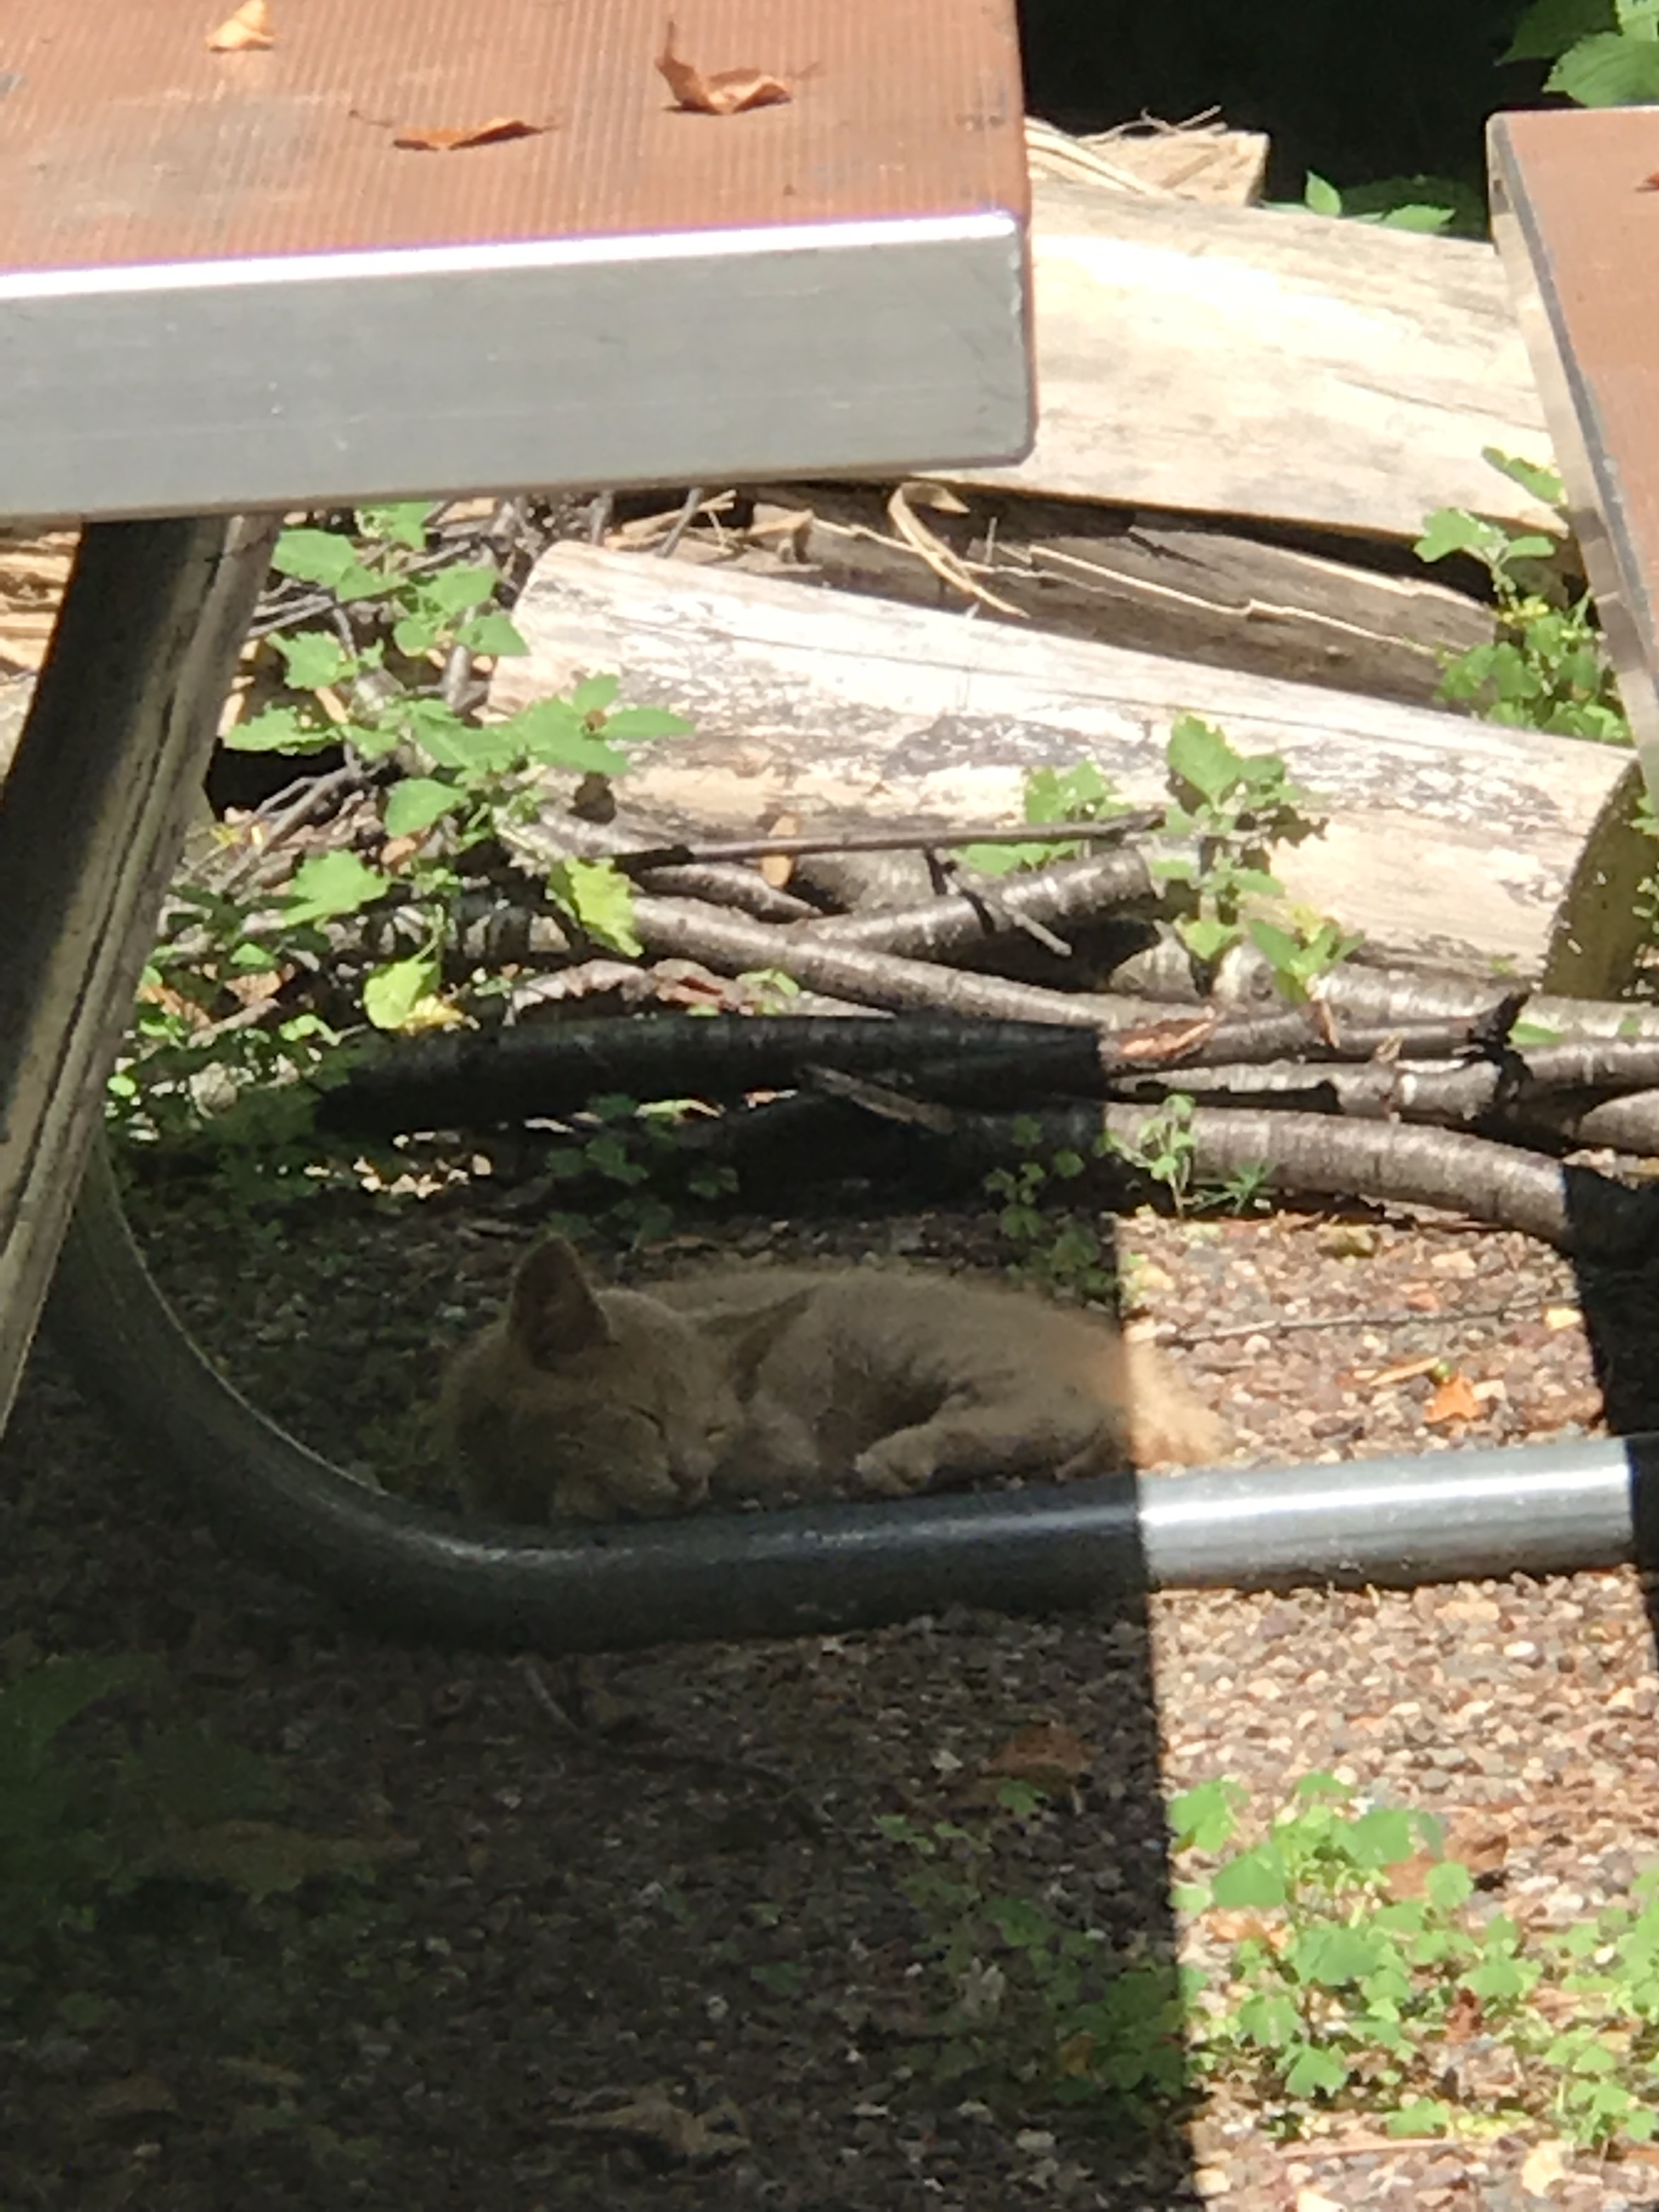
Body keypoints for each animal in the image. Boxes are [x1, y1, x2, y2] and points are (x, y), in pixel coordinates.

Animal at [441, 1236, 1229, 1526]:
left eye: (713, 1429)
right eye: (644, 1416)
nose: (689, 1474)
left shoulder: (780, 1446)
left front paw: (582, 1496)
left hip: (913, 1339)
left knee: (1052, 1406)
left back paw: (902, 1458)